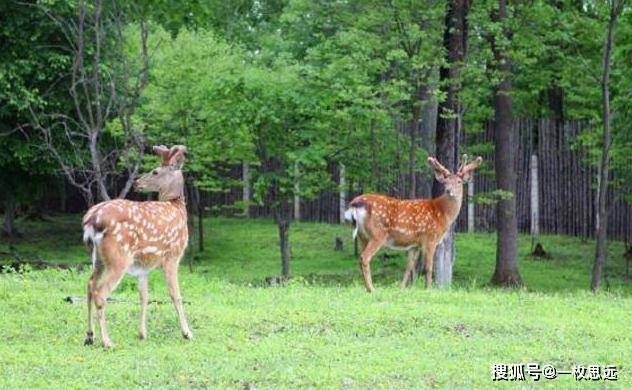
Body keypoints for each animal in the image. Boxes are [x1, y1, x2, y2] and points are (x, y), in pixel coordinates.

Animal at [82, 145, 194, 346]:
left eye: (155, 171)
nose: (136, 182)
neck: (177, 208)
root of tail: (91, 220)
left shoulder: (143, 266)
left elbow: (143, 296)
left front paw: (142, 333)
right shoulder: (173, 255)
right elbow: (175, 294)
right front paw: (187, 333)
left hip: (97, 258)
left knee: (89, 286)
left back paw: (89, 336)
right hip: (118, 257)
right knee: (100, 293)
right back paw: (107, 342)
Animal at [344, 155, 482, 292]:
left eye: (459, 182)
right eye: (445, 182)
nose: (448, 190)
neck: (443, 214)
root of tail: (355, 204)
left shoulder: (414, 244)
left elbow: (409, 267)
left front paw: (402, 288)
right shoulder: (430, 238)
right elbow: (428, 268)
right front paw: (428, 289)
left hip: (362, 236)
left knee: (361, 257)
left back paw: (367, 288)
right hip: (377, 234)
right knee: (365, 257)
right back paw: (372, 289)